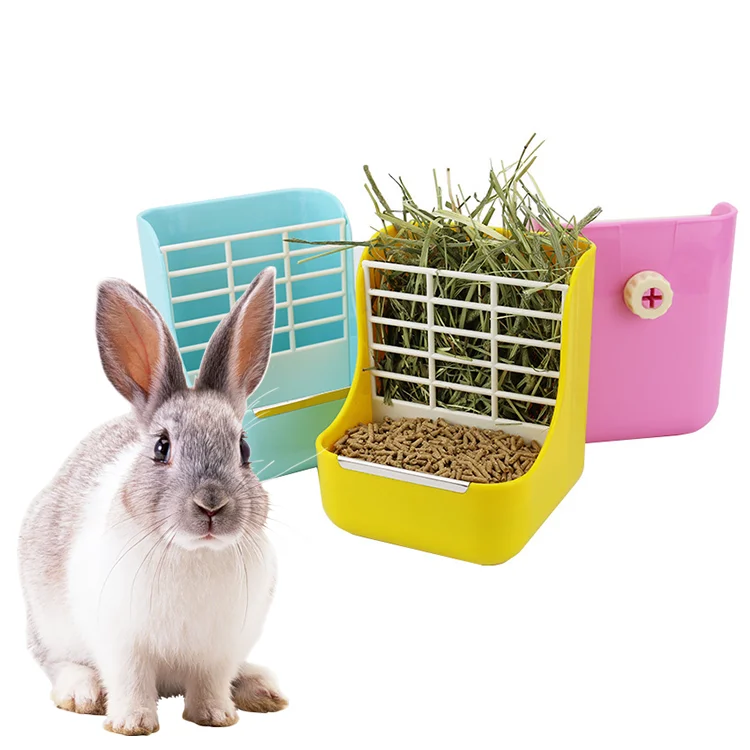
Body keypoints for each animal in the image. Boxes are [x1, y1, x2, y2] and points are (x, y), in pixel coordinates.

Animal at [18, 268, 287, 735]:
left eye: (244, 449)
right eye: (162, 448)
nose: (211, 505)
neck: (194, 552)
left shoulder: (219, 649)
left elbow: (211, 683)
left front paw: (216, 717)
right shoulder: (121, 644)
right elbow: (130, 681)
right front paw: (131, 725)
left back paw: (261, 690)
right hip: (49, 626)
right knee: (57, 663)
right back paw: (82, 693)